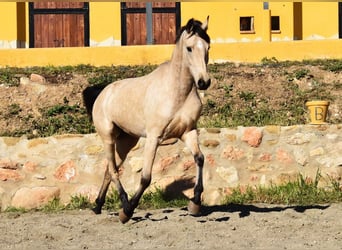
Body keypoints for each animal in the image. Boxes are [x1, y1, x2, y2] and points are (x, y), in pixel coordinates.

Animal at [83, 16, 211, 223]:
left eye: (208, 47)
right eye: (189, 48)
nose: (203, 82)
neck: (177, 93)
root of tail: (103, 92)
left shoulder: (188, 131)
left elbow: (199, 158)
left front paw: (195, 202)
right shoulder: (154, 138)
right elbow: (146, 177)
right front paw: (128, 211)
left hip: (126, 141)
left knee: (109, 170)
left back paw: (98, 205)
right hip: (108, 137)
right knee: (113, 170)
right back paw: (124, 206)